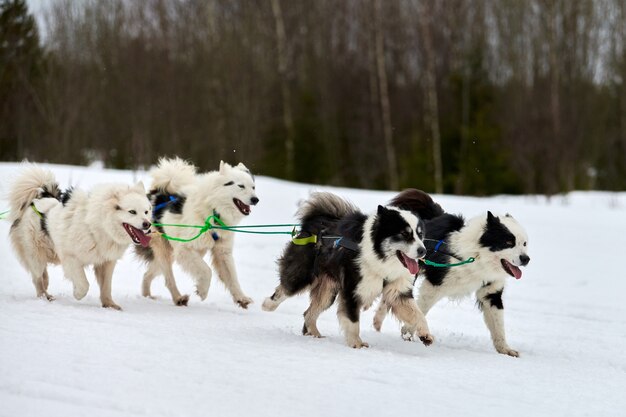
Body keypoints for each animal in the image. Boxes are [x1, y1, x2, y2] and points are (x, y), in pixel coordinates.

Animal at [9, 164, 152, 308]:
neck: (98, 227)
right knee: (37, 278)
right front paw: (77, 294)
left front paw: (109, 304)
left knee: (42, 275)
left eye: (146, 211)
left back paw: (46, 284)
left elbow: (106, 287)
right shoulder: (71, 258)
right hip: (35, 255)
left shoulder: (106, 262)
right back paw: (44, 296)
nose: (148, 224)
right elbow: (84, 285)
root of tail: (35, 201)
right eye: (132, 212)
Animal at [138, 158, 258, 308]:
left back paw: (147, 295)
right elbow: (207, 271)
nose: (256, 199)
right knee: (169, 279)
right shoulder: (184, 249)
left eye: (253, 187)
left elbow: (232, 278)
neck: (213, 212)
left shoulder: (222, 252)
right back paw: (178, 298)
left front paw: (241, 298)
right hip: (165, 251)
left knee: (147, 274)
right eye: (241, 186)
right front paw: (202, 290)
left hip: (173, 254)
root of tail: (156, 193)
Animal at [260, 192, 432, 348]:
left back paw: (315, 334)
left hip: (328, 291)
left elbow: (418, 314)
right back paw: (267, 305)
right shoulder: (352, 290)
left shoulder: (398, 292)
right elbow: (353, 321)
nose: (423, 251)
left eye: (420, 234)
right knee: (285, 289)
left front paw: (425, 334)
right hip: (303, 275)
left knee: (309, 313)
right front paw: (356, 344)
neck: (378, 256)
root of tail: (314, 222)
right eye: (404, 234)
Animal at [372, 188, 528, 354]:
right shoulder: (434, 284)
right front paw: (409, 331)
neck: (477, 257)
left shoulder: (491, 292)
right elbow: (420, 309)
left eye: (524, 243)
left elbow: (498, 324)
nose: (526, 259)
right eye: (509, 242)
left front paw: (505, 349)